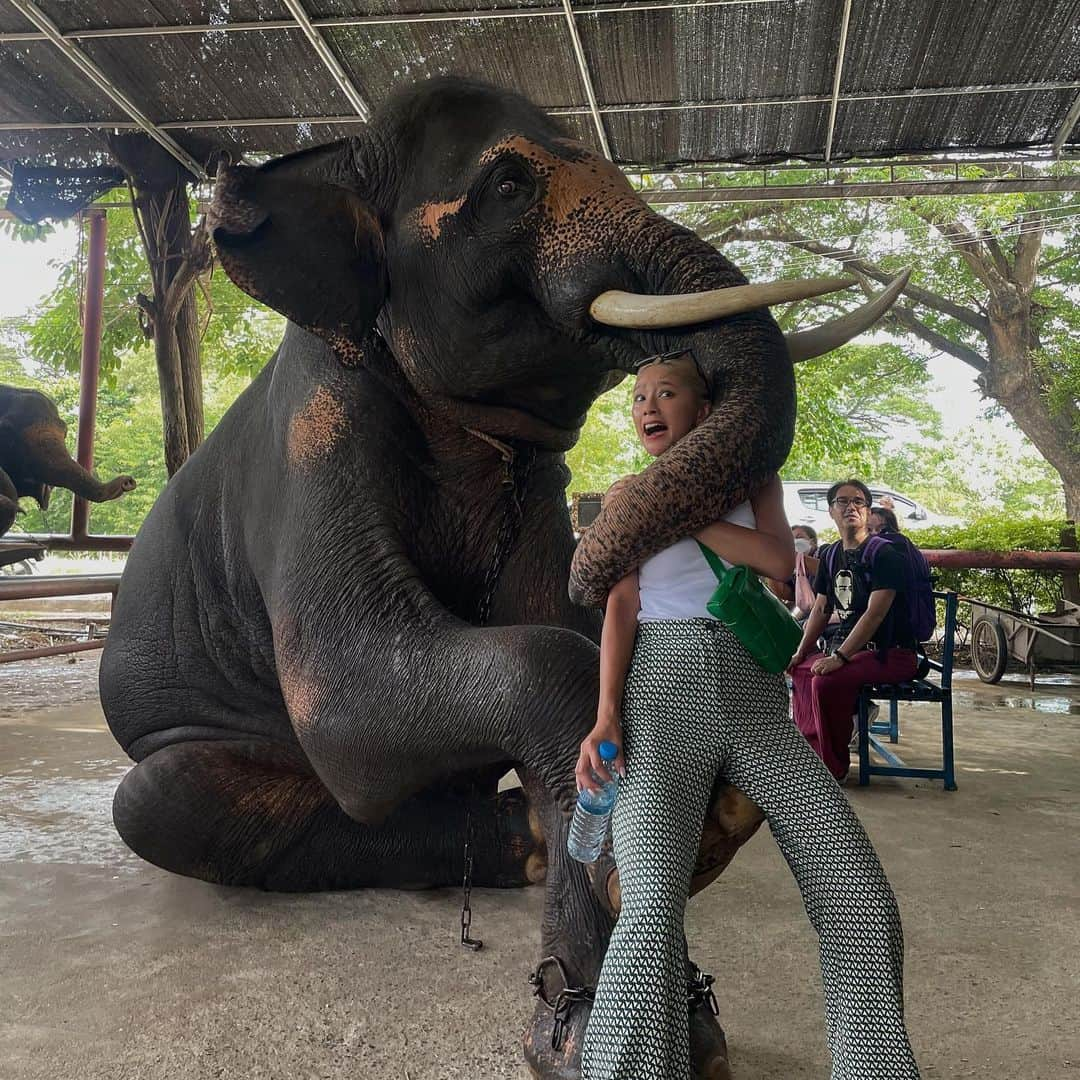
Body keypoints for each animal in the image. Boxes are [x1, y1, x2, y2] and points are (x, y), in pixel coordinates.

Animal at [101, 78, 907, 1080]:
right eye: (511, 187)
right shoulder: (315, 429)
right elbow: (353, 699)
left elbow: (565, 630)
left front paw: (670, 1026)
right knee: (162, 799)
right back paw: (520, 845)